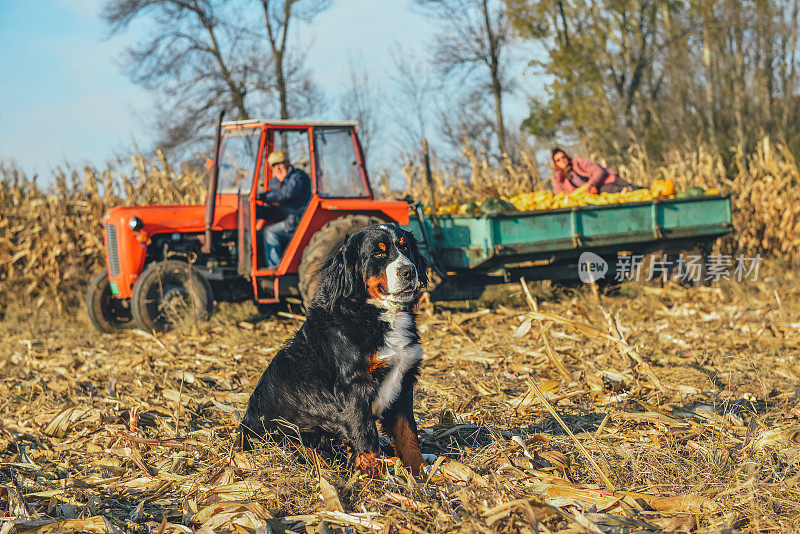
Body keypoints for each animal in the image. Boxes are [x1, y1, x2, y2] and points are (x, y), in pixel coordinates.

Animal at [241, 224, 428, 476]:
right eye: (378, 253)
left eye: (405, 247)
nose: (409, 271)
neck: (376, 314)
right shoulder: (354, 386)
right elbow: (366, 436)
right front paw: (376, 478)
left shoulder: (405, 379)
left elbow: (408, 434)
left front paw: (422, 471)